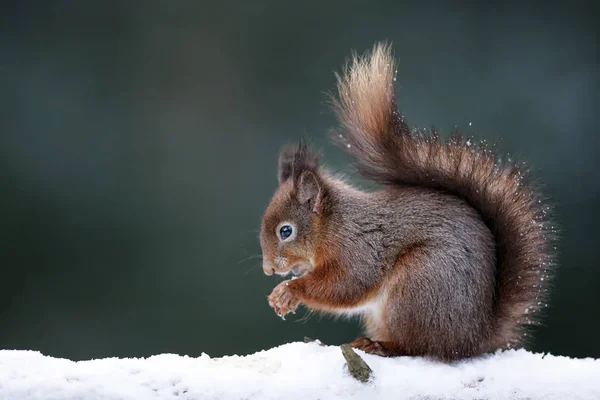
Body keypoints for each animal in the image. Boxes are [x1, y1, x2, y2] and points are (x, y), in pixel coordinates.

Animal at [260, 42, 556, 360]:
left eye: (286, 231)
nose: (268, 270)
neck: (333, 225)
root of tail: (473, 339)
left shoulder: (360, 250)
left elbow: (347, 285)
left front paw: (289, 290)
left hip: (418, 283)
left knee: (418, 347)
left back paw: (379, 346)